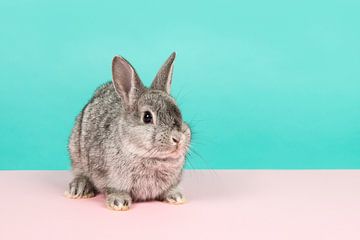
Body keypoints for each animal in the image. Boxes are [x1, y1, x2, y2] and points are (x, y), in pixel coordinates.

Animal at [66, 52, 193, 210]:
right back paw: (79, 188)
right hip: (75, 150)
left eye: (179, 112)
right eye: (147, 117)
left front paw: (176, 196)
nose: (178, 138)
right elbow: (113, 189)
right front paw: (119, 202)